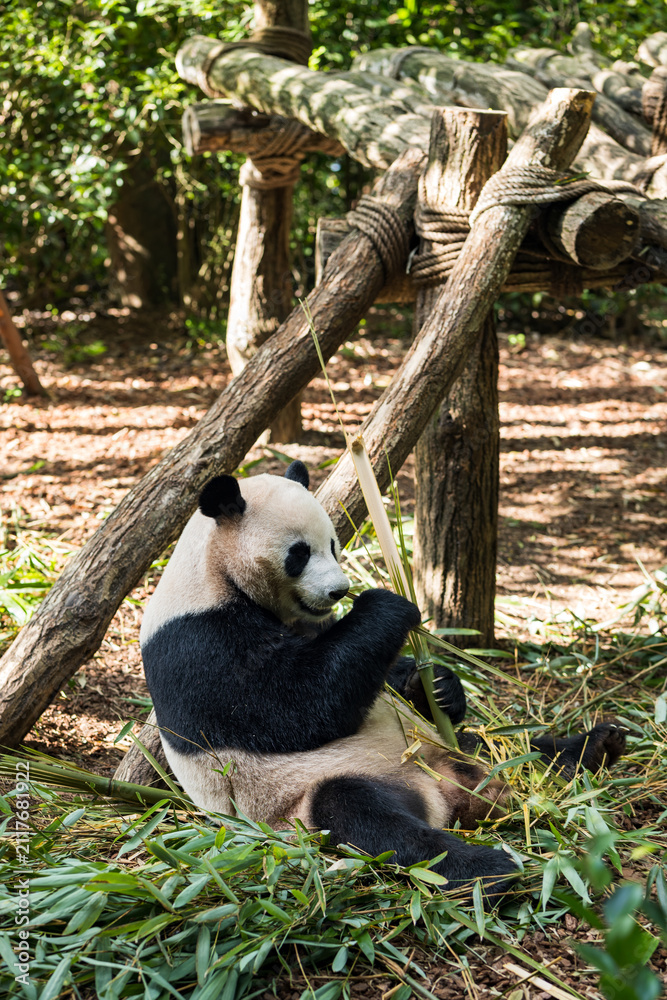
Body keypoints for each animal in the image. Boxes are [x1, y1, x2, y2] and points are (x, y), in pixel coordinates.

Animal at [141, 461, 626, 904]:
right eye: (299, 553)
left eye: (334, 545)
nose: (339, 591)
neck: (212, 570)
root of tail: (447, 791)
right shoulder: (197, 642)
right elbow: (292, 704)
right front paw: (388, 603)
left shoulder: (308, 625)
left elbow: (370, 673)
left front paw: (439, 687)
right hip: (307, 797)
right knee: (363, 816)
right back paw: (488, 869)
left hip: (452, 748)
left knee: (513, 748)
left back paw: (596, 746)